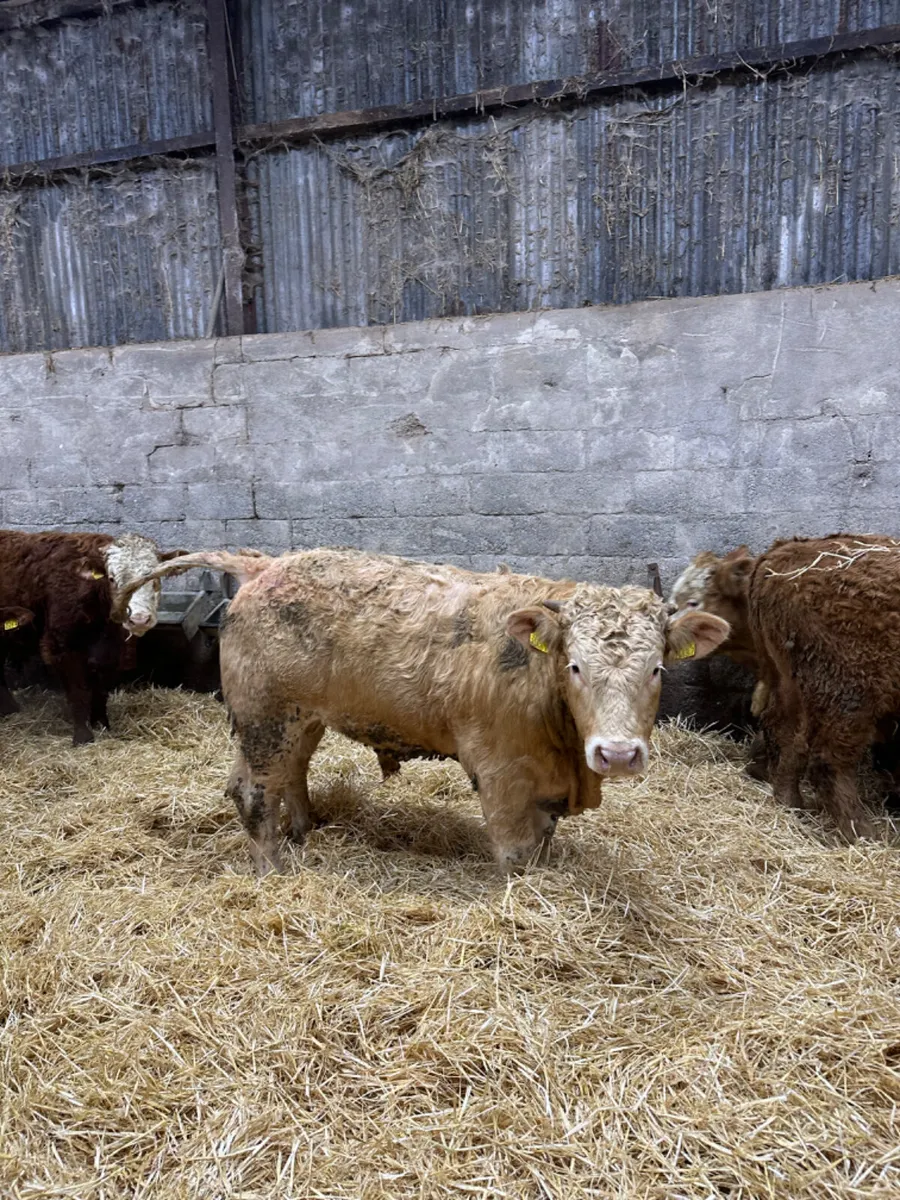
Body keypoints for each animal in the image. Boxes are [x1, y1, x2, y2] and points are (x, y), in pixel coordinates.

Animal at [0, 531, 184, 744]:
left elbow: (101, 688)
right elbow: (77, 691)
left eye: (155, 579)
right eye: (111, 579)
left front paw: (102, 723)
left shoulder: (114, 649)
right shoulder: (62, 646)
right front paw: (83, 735)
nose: (139, 619)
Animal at [120, 547, 729, 874]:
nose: (618, 754)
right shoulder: (502, 770)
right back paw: (274, 868)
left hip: (299, 718)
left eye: (658, 669)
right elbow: (515, 849)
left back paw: (304, 830)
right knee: (252, 791)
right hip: (263, 716)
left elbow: (543, 839)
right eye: (575, 665)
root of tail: (266, 564)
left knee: (289, 773)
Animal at [671, 535, 900, 839]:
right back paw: (862, 833)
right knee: (828, 761)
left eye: (693, 602)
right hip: (847, 687)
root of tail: (783, 551)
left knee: (785, 731)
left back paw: (791, 803)